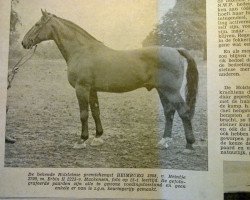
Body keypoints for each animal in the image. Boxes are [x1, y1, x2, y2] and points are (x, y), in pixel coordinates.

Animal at [21, 9, 198, 150]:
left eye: (37, 24)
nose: (24, 42)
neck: (81, 51)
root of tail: (175, 50)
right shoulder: (92, 89)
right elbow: (95, 112)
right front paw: (98, 137)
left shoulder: (82, 88)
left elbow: (84, 114)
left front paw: (82, 140)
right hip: (162, 90)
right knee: (169, 112)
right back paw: (164, 141)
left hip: (171, 91)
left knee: (183, 112)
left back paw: (189, 144)